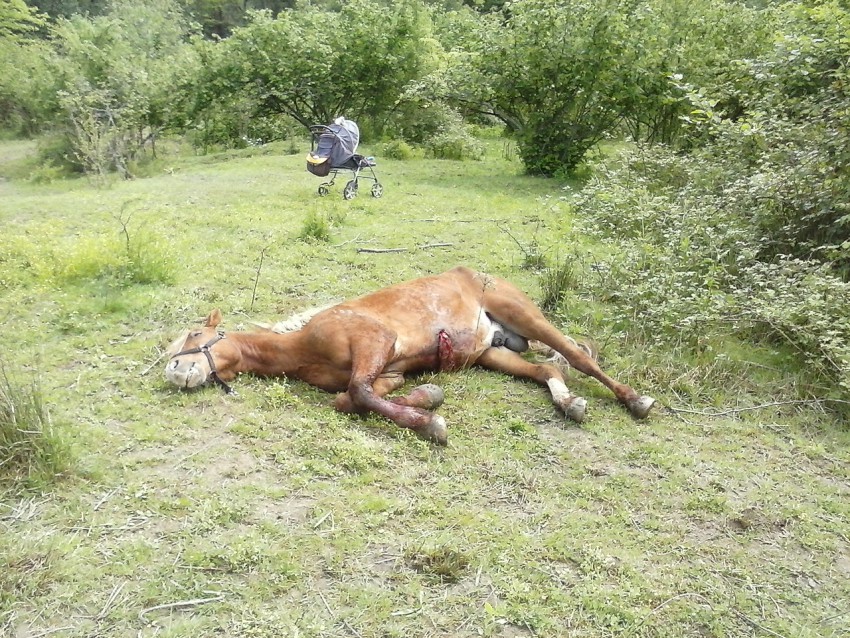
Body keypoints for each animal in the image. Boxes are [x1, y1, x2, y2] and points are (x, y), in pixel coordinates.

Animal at [167, 268, 656, 448]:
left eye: (193, 334)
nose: (174, 371)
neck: (303, 344)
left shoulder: (374, 342)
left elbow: (358, 393)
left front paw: (430, 423)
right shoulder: (389, 371)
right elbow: (351, 399)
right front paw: (428, 396)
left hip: (525, 315)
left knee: (577, 356)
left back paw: (635, 400)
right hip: (492, 354)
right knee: (549, 367)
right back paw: (568, 403)